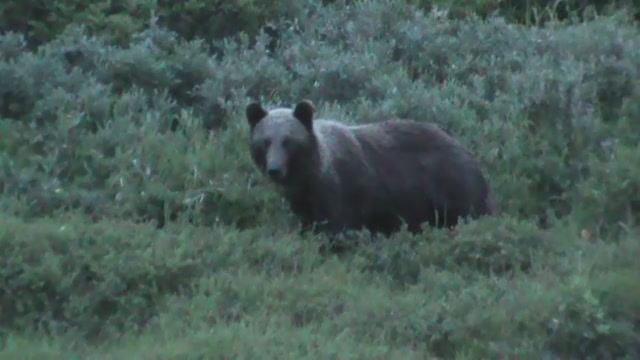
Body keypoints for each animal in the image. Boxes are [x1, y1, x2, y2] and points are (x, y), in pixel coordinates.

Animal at [245, 98, 496, 239]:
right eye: (265, 141)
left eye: (288, 141)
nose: (274, 169)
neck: (310, 177)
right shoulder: (303, 202)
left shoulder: (342, 193)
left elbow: (337, 229)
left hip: (451, 187)